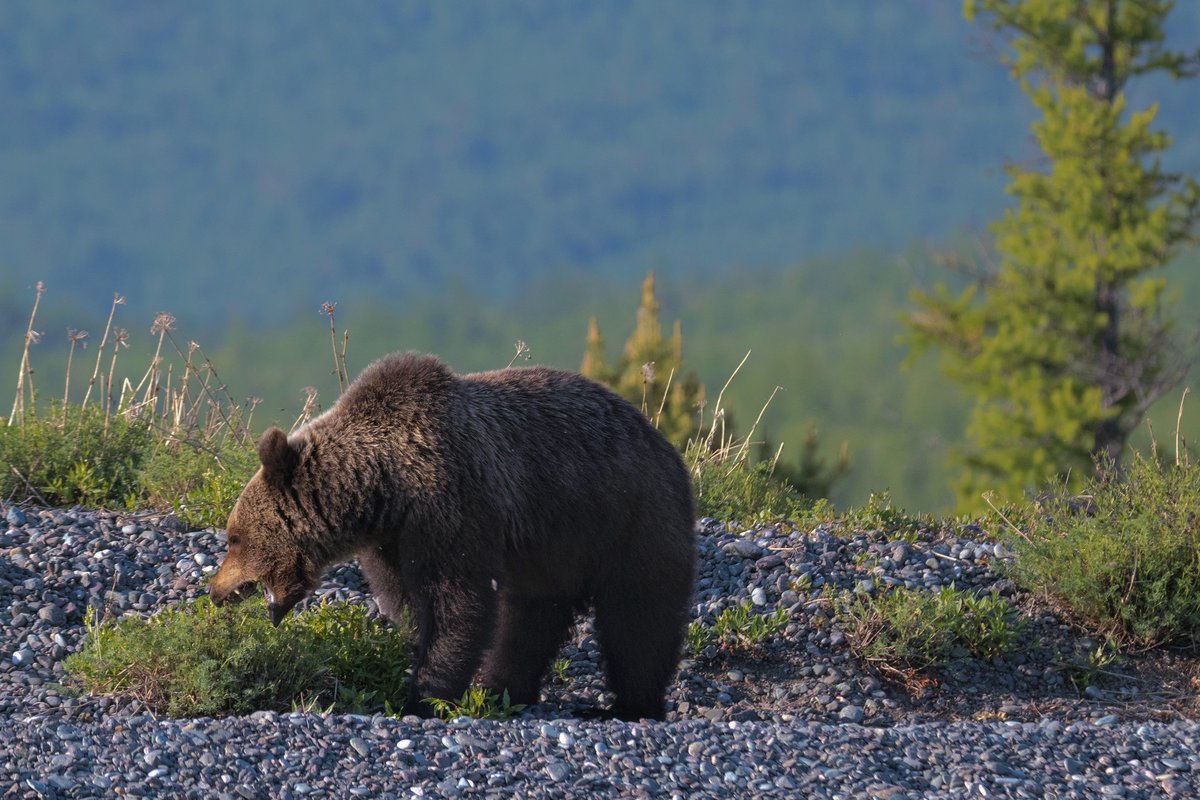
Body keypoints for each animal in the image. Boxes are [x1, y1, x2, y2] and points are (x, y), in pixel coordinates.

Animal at [206, 350, 696, 719]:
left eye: (233, 538)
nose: (215, 591)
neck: (385, 485)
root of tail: (664, 444)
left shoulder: (450, 506)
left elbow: (456, 602)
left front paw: (423, 694)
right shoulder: (393, 538)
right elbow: (406, 599)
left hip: (630, 517)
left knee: (638, 615)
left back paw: (630, 705)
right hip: (554, 551)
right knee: (531, 618)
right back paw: (504, 689)